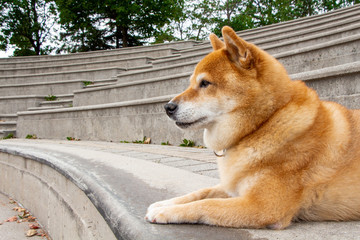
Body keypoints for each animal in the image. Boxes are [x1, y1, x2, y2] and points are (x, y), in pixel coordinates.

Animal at [144, 25, 360, 229]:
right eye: (191, 83)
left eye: (205, 83)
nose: (167, 107)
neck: (264, 123)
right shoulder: (235, 186)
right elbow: (201, 192)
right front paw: (165, 203)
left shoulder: (262, 205)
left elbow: (206, 204)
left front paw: (165, 212)